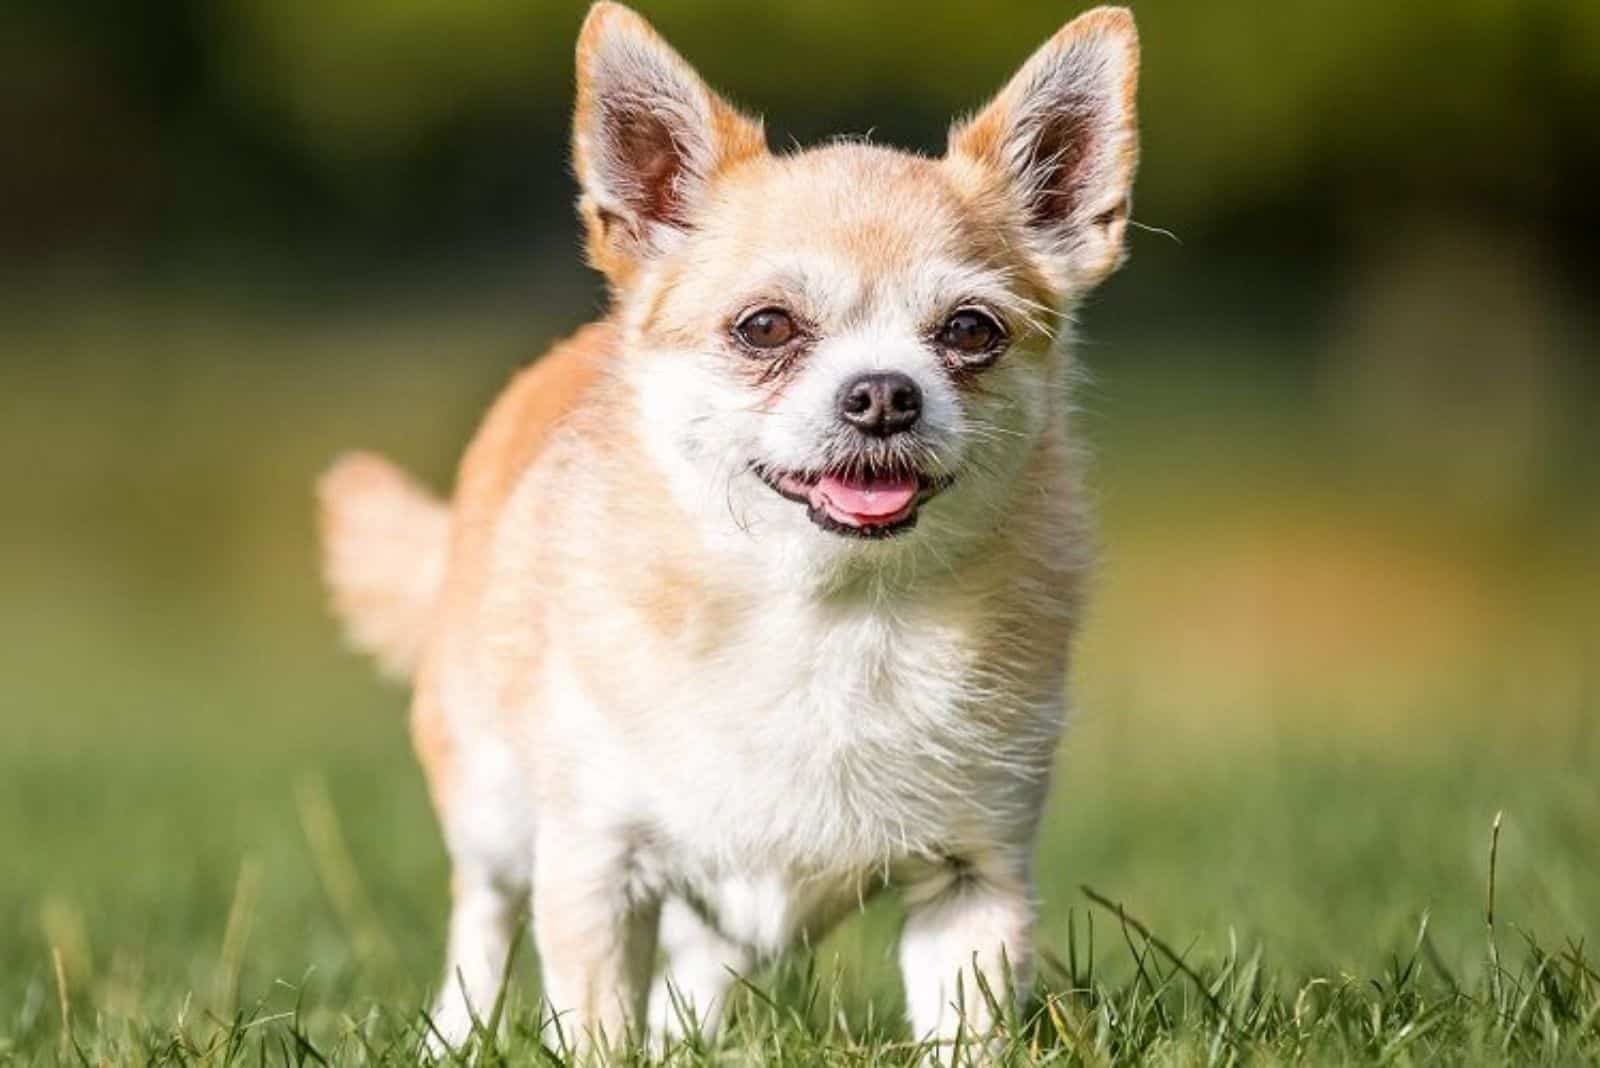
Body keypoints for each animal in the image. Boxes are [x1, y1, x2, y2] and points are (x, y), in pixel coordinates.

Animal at [315, 4, 1139, 1055]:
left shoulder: (974, 881)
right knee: (483, 920)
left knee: (700, 970)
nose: (884, 395)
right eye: (766, 327)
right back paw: (454, 1040)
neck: (832, 612)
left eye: (971, 331)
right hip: (493, 803)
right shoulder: (593, 866)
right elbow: (594, 1027)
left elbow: (966, 1031)